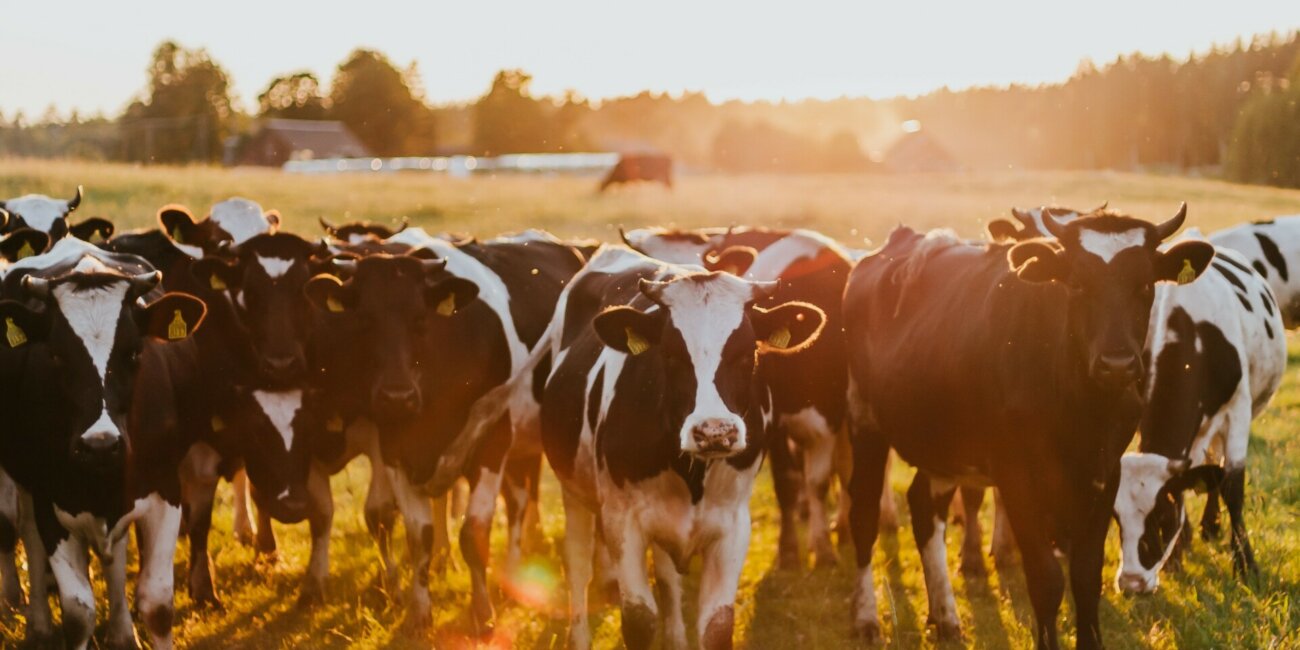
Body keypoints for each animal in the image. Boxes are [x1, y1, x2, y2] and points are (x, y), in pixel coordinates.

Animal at [0, 237, 205, 650]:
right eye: (56, 355)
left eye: (135, 352)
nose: (100, 446)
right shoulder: (50, 501)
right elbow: (79, 613)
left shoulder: (165, 490)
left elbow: (158, 604)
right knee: (29, 537)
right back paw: (39, 625)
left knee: (116, 555)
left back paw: (122, 633)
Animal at [301, 227, 587, 629]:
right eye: (364, 320)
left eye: (422, 319)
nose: (397, 396)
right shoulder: (395, 450)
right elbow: (418, 534)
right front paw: (420, 610)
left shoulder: (492, 444)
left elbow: (475, 532)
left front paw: (482, 612)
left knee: (518, 506)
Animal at [618, 224, 894, 569]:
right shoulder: (773, 425)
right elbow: (788, 482)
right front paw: (789, 550)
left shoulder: (829, 417)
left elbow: (818, 481)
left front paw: (822, 548)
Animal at [837, 205, 1211, 647]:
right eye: (1077, 285)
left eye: (1145, 285)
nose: (1117, 363)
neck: (1081, 410)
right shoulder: (1015, 476)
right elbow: (1046, 579)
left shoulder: (1105, 474)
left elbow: (1086, 576)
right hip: (864, 422)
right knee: (863, 514)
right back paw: (866, 617)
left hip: (942, 445)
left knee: (925, 510)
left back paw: (945, 615)